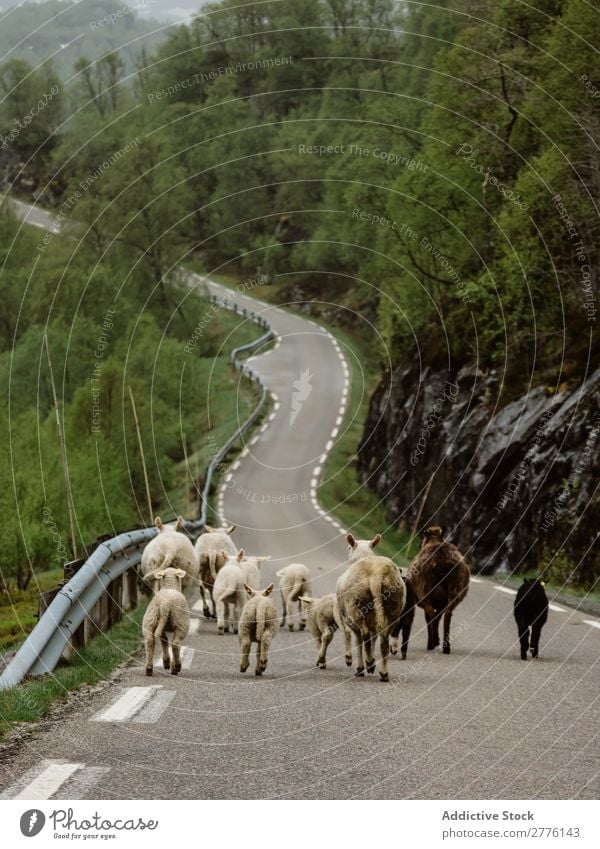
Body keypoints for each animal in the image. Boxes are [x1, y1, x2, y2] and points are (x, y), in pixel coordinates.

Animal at [408, 524, 468, 656]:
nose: (419, 544)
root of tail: (443, 562)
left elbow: (429, 619)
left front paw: (433, 641)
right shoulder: (441, 603)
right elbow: (439, 617)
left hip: (427, 592)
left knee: (431, 615)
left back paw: (432, 643)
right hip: (453, 593)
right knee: (447, 616)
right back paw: (446, 647)